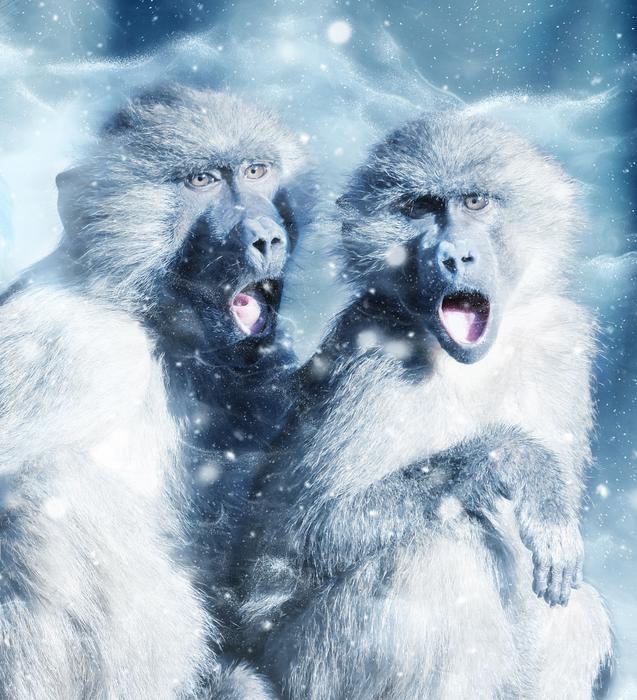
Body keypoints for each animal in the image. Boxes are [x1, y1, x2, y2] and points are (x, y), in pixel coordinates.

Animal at [235, 111, 614, 699]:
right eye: (421, 208)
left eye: (475, 201)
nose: (454, 255)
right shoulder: (372, 361)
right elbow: (303, 530)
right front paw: (514, 461)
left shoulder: (558, 348)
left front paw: (547, 502)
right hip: (309, 668)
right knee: (435, 559)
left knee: (572, 614)